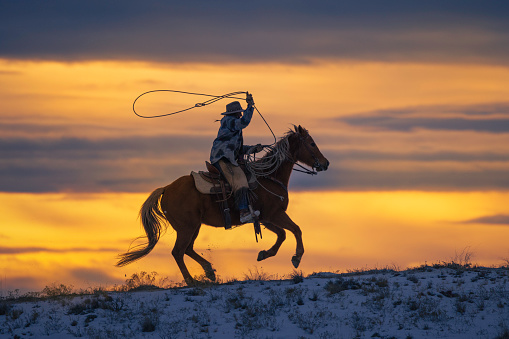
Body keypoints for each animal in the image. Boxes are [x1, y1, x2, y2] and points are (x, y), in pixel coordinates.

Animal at [115, 124, 330, 284]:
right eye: (312, 143)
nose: (325, 163)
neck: (269, 176)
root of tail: (166, 188)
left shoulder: (266, 219)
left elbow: (283, 235)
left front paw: (264, 254)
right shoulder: (275, 214)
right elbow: (295, 230)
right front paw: (297, 257)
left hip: (194, 226)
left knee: (188, 249)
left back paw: (209, 271)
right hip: (186, 227)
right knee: (178, 251)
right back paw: (192, 281)